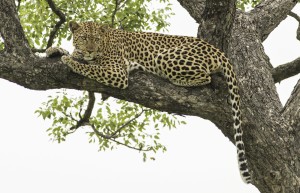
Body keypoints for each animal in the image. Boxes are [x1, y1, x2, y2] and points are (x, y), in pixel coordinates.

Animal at [46, 21, 251, 184]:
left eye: (95, 39)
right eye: (83, 38)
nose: (89, 49)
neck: (104, 42)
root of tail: (217, 50)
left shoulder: (117, 72)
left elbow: (89, 66)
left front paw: (70, 59)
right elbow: (76, 54)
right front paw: (55, 49)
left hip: (165, 57)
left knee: (206, 77)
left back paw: (176, 80)